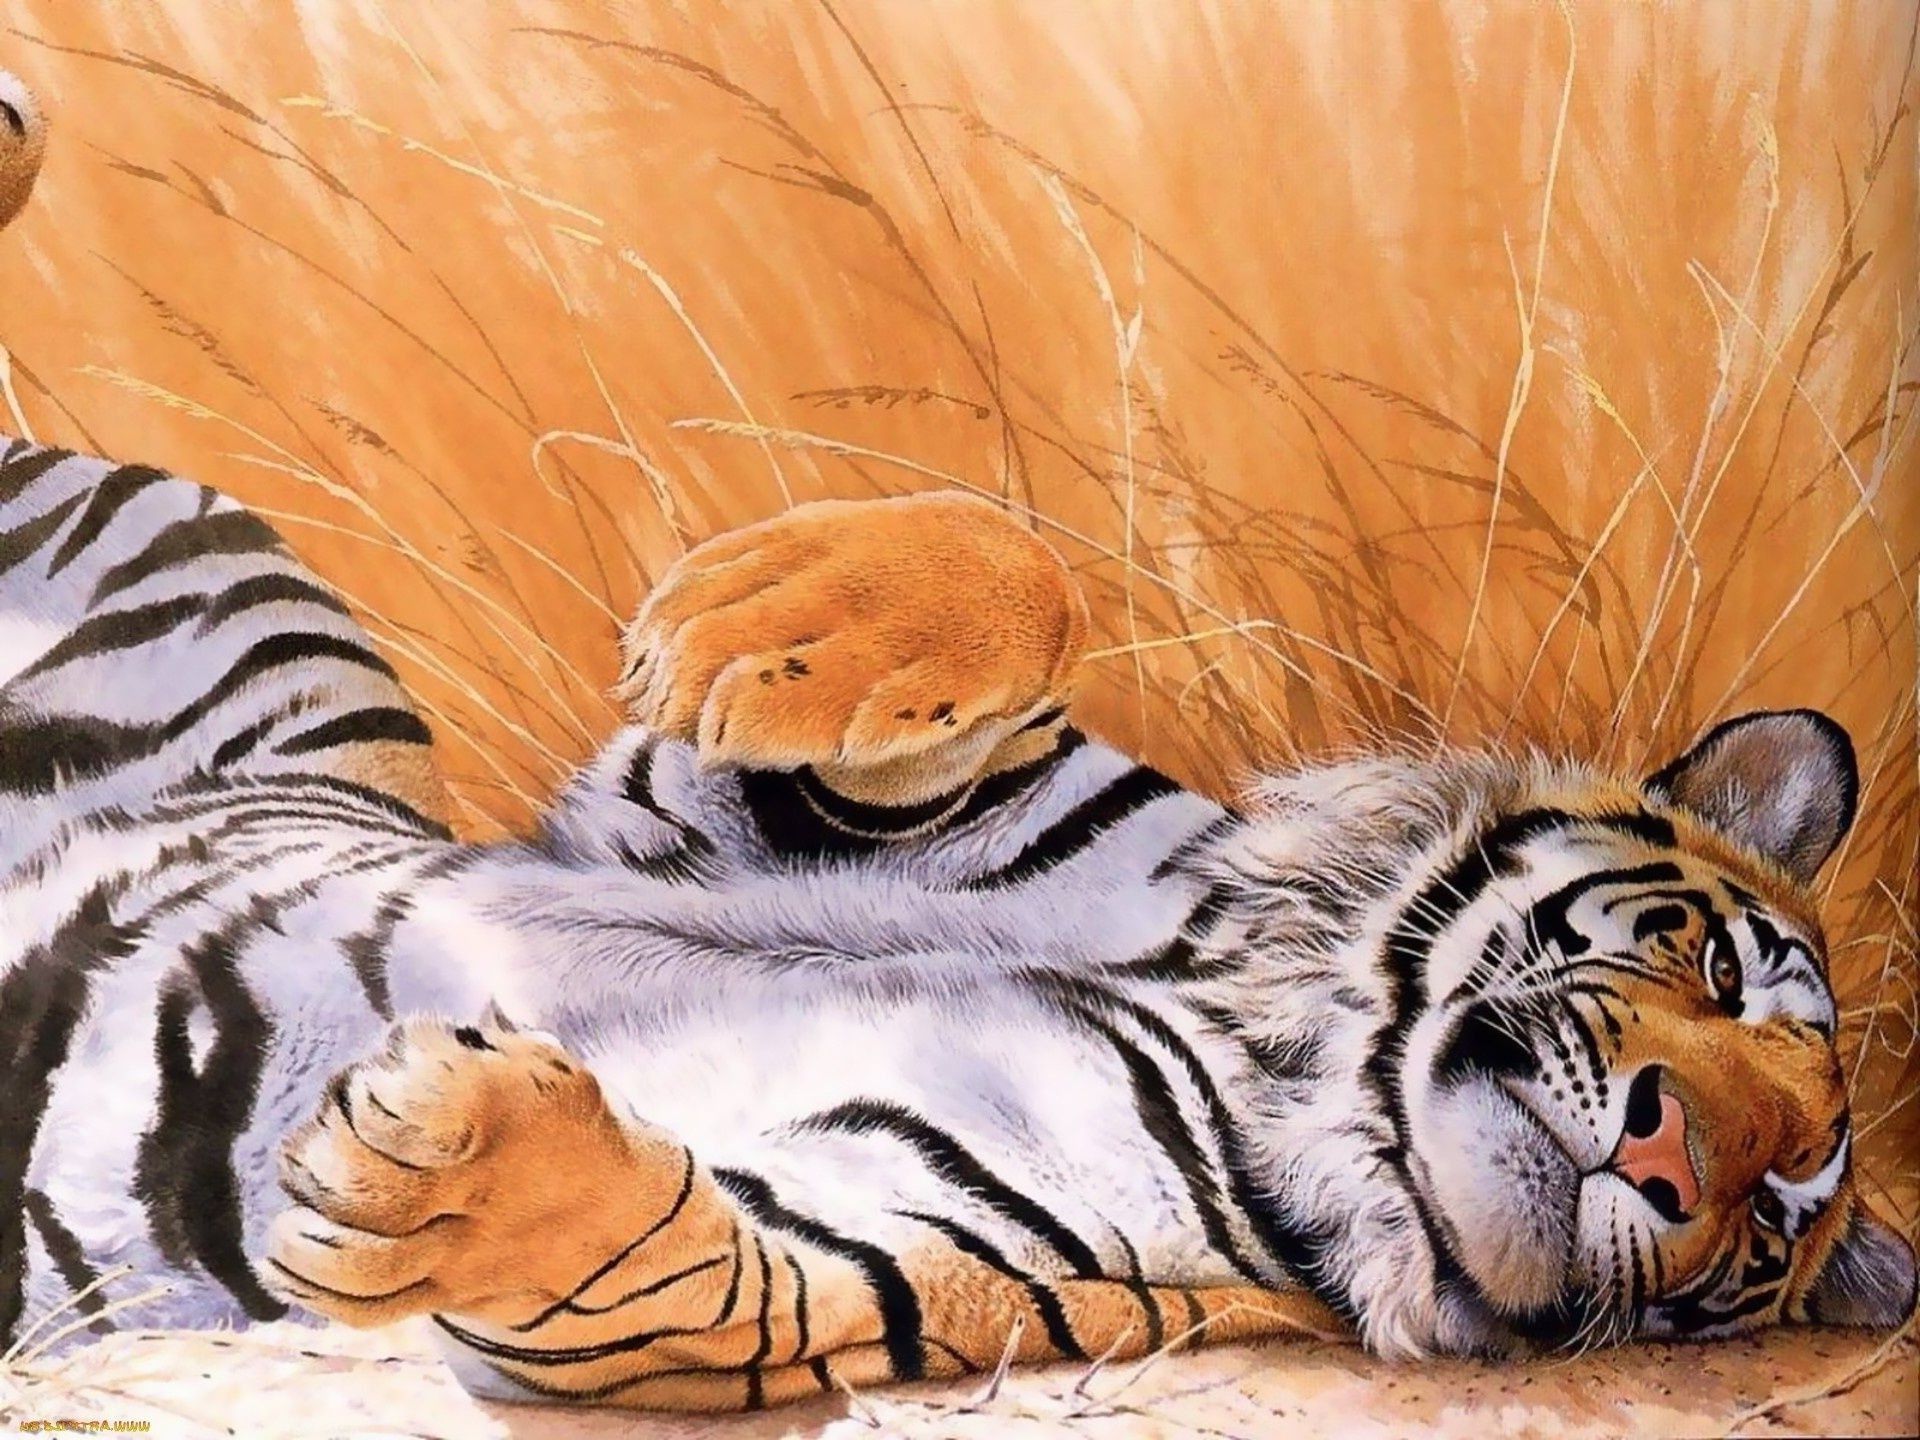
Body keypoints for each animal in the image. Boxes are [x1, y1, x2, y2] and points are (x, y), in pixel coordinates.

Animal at [0, 70, 1912, 1415]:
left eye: (1776, 1209)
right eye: (1719, 970)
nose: (1675, 1155)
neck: (1297, 1062)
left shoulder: (870, 1247)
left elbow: (663, 1258)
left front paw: (447, 1149)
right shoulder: (776, 808)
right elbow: (1015, 573)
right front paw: (769, 619)